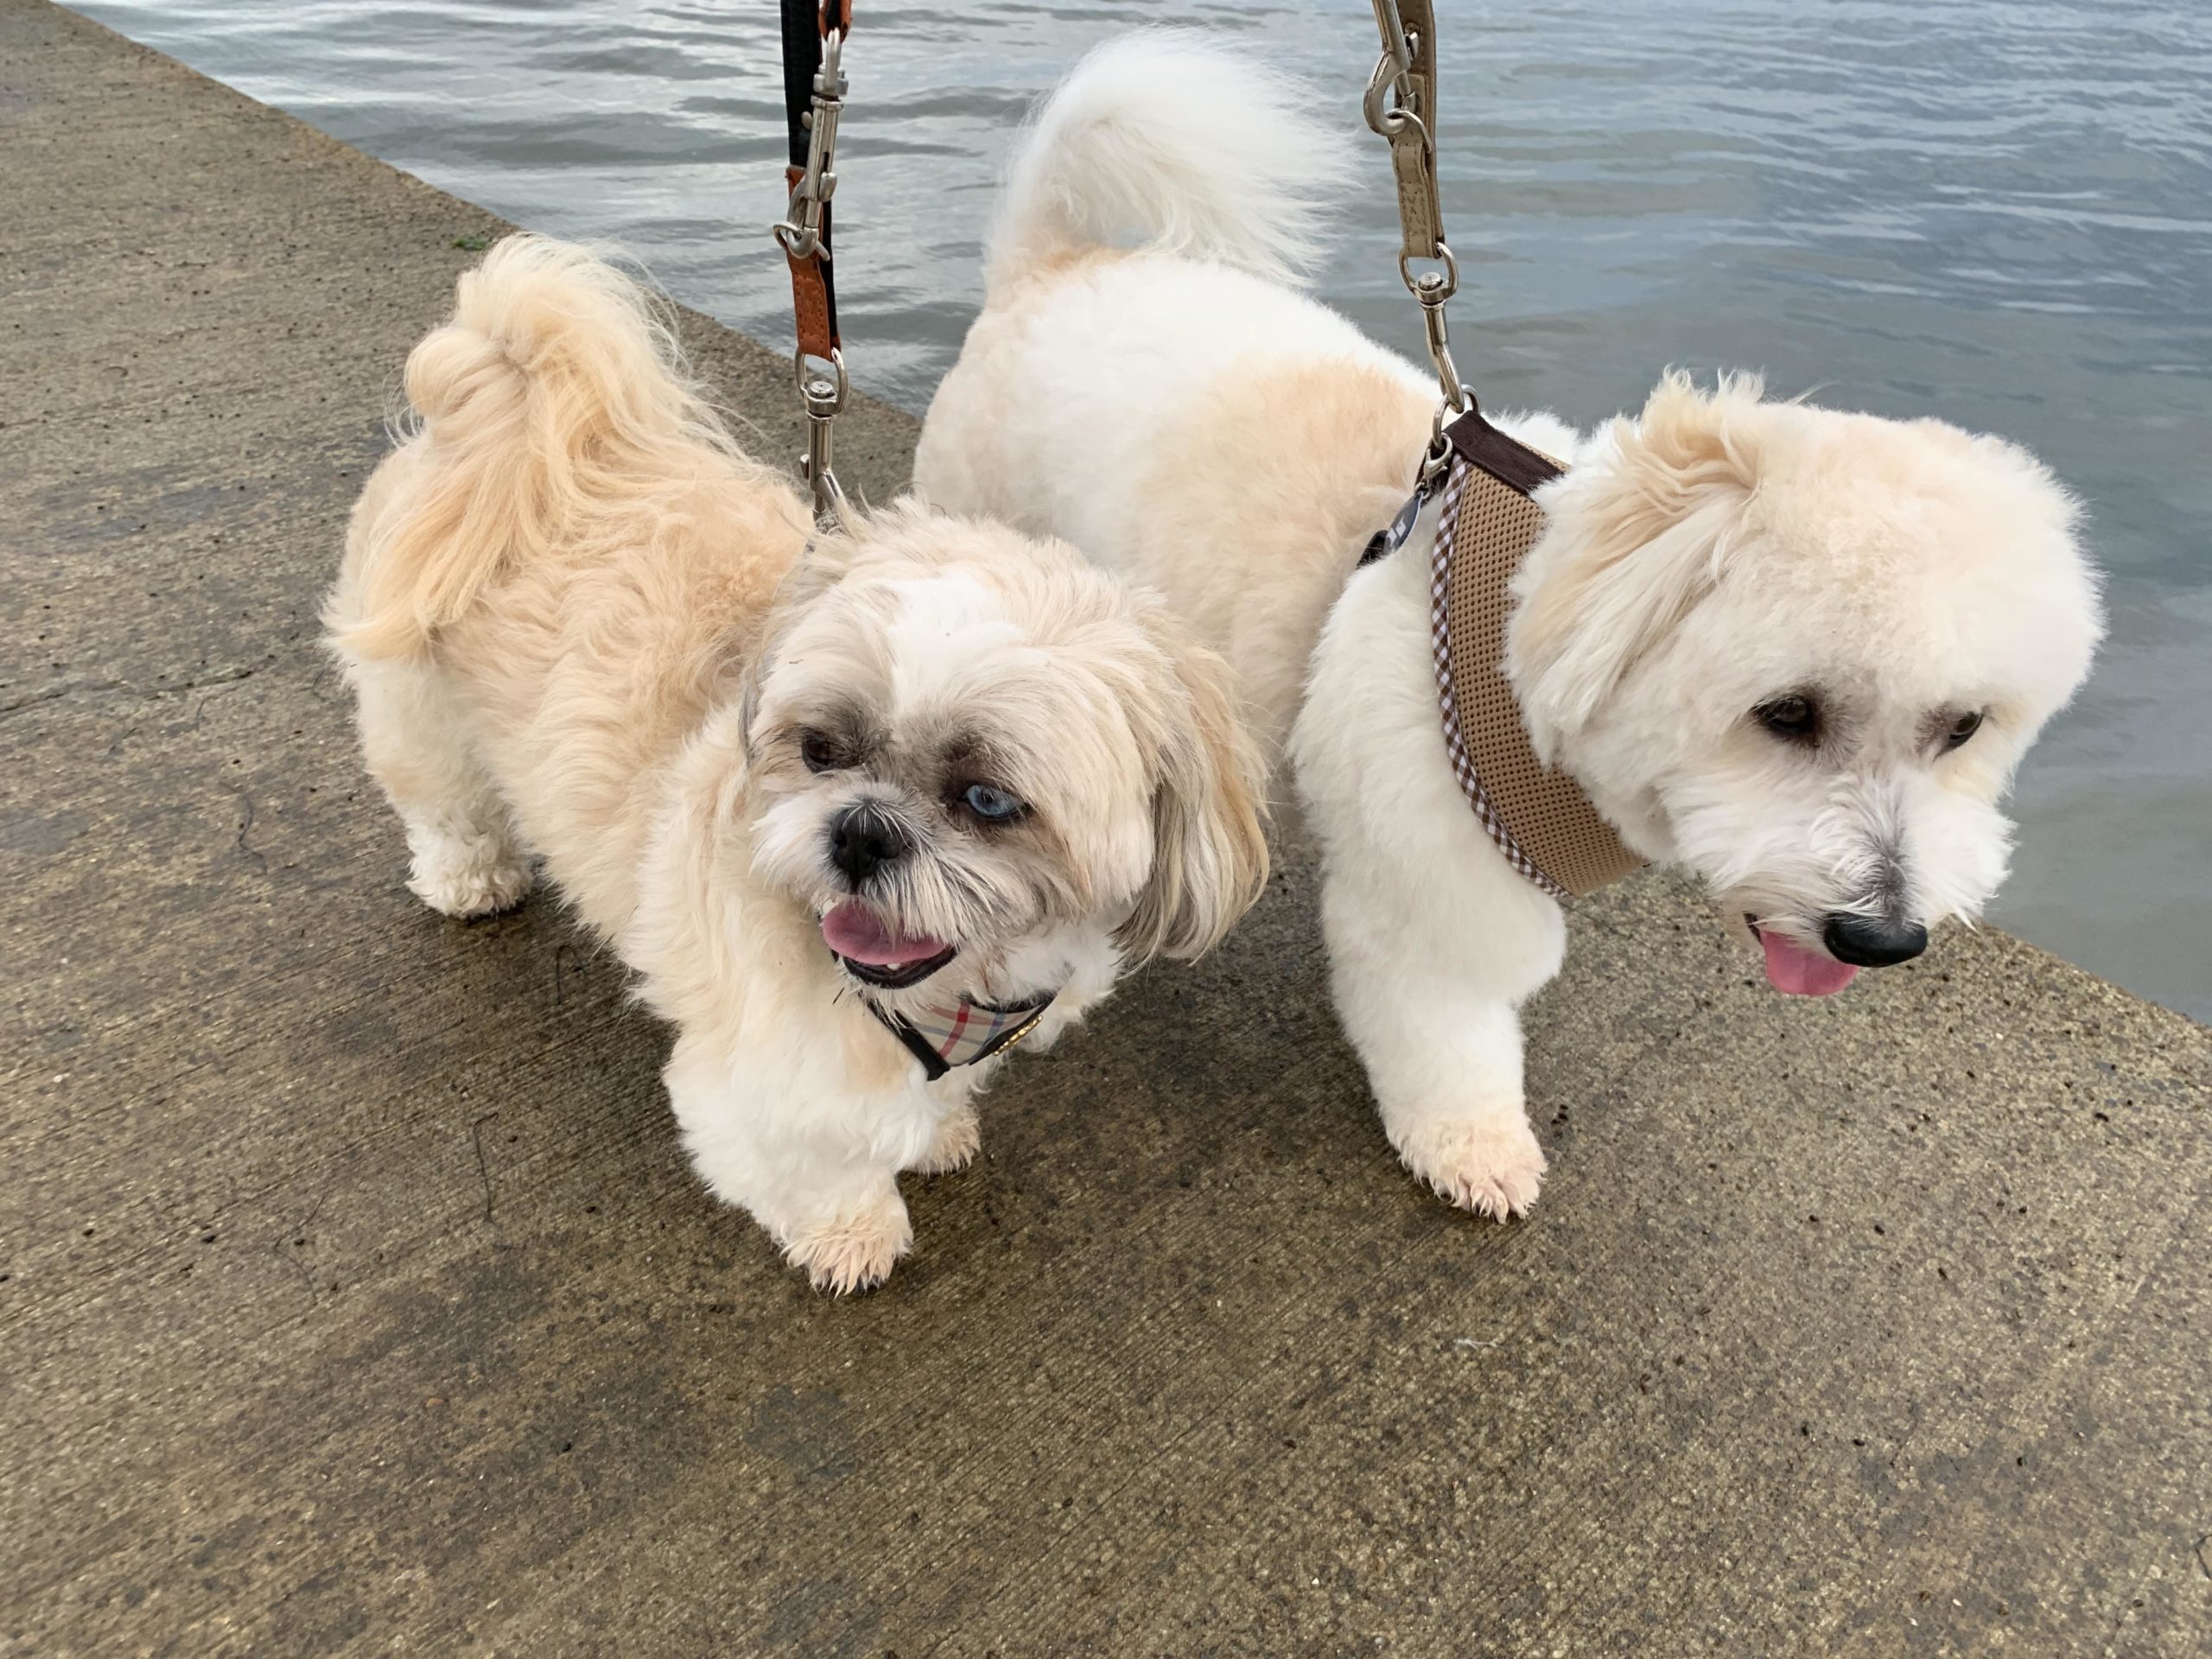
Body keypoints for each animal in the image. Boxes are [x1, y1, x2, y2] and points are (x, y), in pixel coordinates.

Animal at [322, 236, 1274, 1300]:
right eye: (822, 750)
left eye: (988, 798)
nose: (858, 830)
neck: (936, 999)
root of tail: (505, 416)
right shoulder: (761, 1075)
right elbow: (813, 1161)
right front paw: (854, 1231)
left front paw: (938, 1132)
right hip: (417, 709)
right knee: (445, 805)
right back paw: (471, 876)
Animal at [911, 35, 2088, 1221]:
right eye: (1786, 713)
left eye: (1962, 729)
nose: (1881, 937)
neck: (1530, 643)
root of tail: (1051, 266)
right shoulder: (1437, 891)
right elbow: (1449, 1031)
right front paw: (1469, 1144)